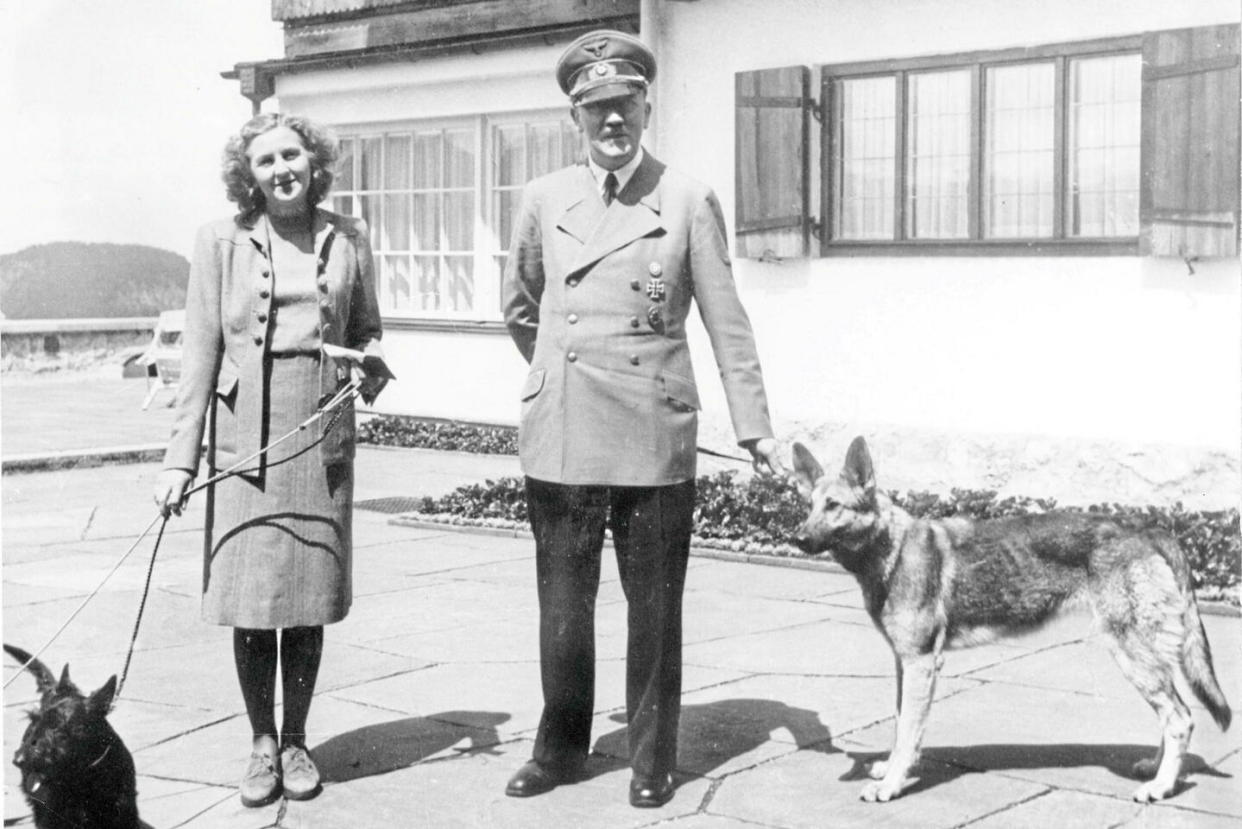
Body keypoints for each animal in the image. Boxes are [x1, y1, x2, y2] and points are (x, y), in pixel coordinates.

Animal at [789, 437, 1227, 800]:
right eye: (808, 506)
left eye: (834, 506)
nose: (797, 538)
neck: (889, 551)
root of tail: (1150, 529)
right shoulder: (905, 663)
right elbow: (901, 726)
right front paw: (891, 769)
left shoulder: (921, 663)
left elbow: (910, 730)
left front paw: (893, 784)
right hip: (1146, 661)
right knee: (1175, 714)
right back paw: (1155, 769)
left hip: (1132, 657)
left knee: (1181, 719)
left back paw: (1161, 788)